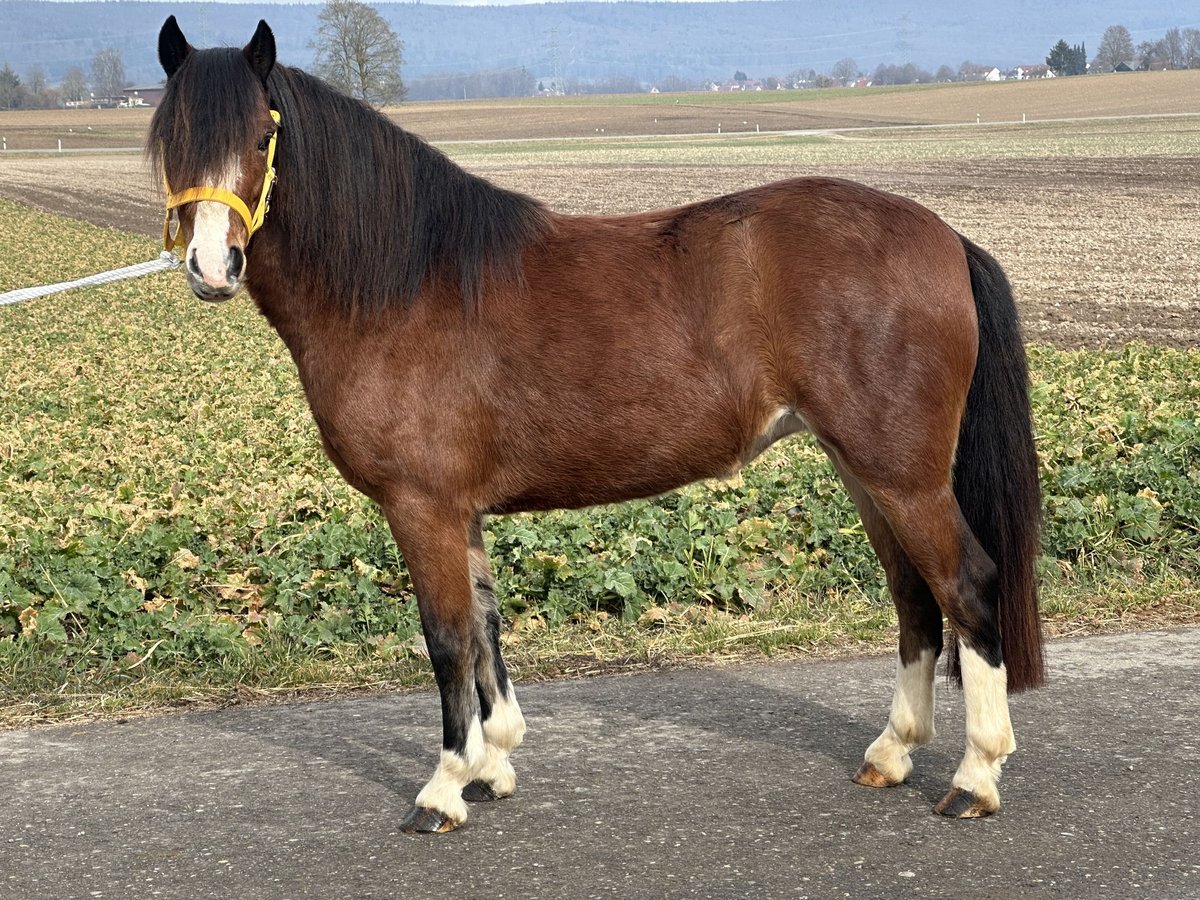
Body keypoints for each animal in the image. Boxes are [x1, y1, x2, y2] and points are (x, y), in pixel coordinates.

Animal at [150, 14, 1046, 835]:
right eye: (171, 137)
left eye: (263, 135)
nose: (212, 268)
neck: (405, 286)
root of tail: (943, 236)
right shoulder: (460, 513)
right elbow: (486, 631)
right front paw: (493, 766)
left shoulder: (421, 507)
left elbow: (446, 640)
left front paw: (443, 789)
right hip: (864, 469)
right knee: (913, 597)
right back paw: (892, 754)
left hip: (905, 477)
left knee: (968, 588)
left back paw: (974, 776)